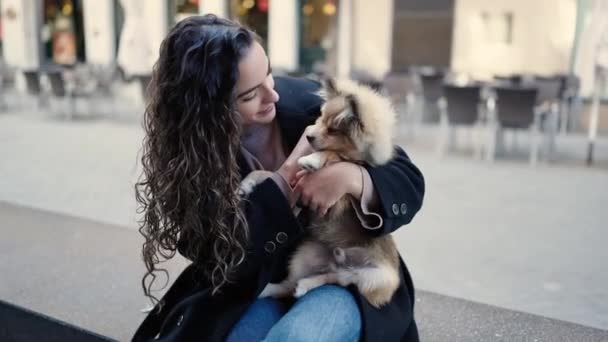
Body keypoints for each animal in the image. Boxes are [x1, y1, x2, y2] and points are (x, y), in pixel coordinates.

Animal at [240, 77, 402, 308]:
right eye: (321, 118)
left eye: (333, 130)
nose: (308, 136)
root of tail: (339, 261)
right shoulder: (292, 186)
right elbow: (265, 173)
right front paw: (246, 184)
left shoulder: (340, 195)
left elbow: (334, 155)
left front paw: (312, 160)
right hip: (304, 255)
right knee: (301, 282)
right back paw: (277, 288)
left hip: (374, 278)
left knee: (340, 280)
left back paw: (306, 284)